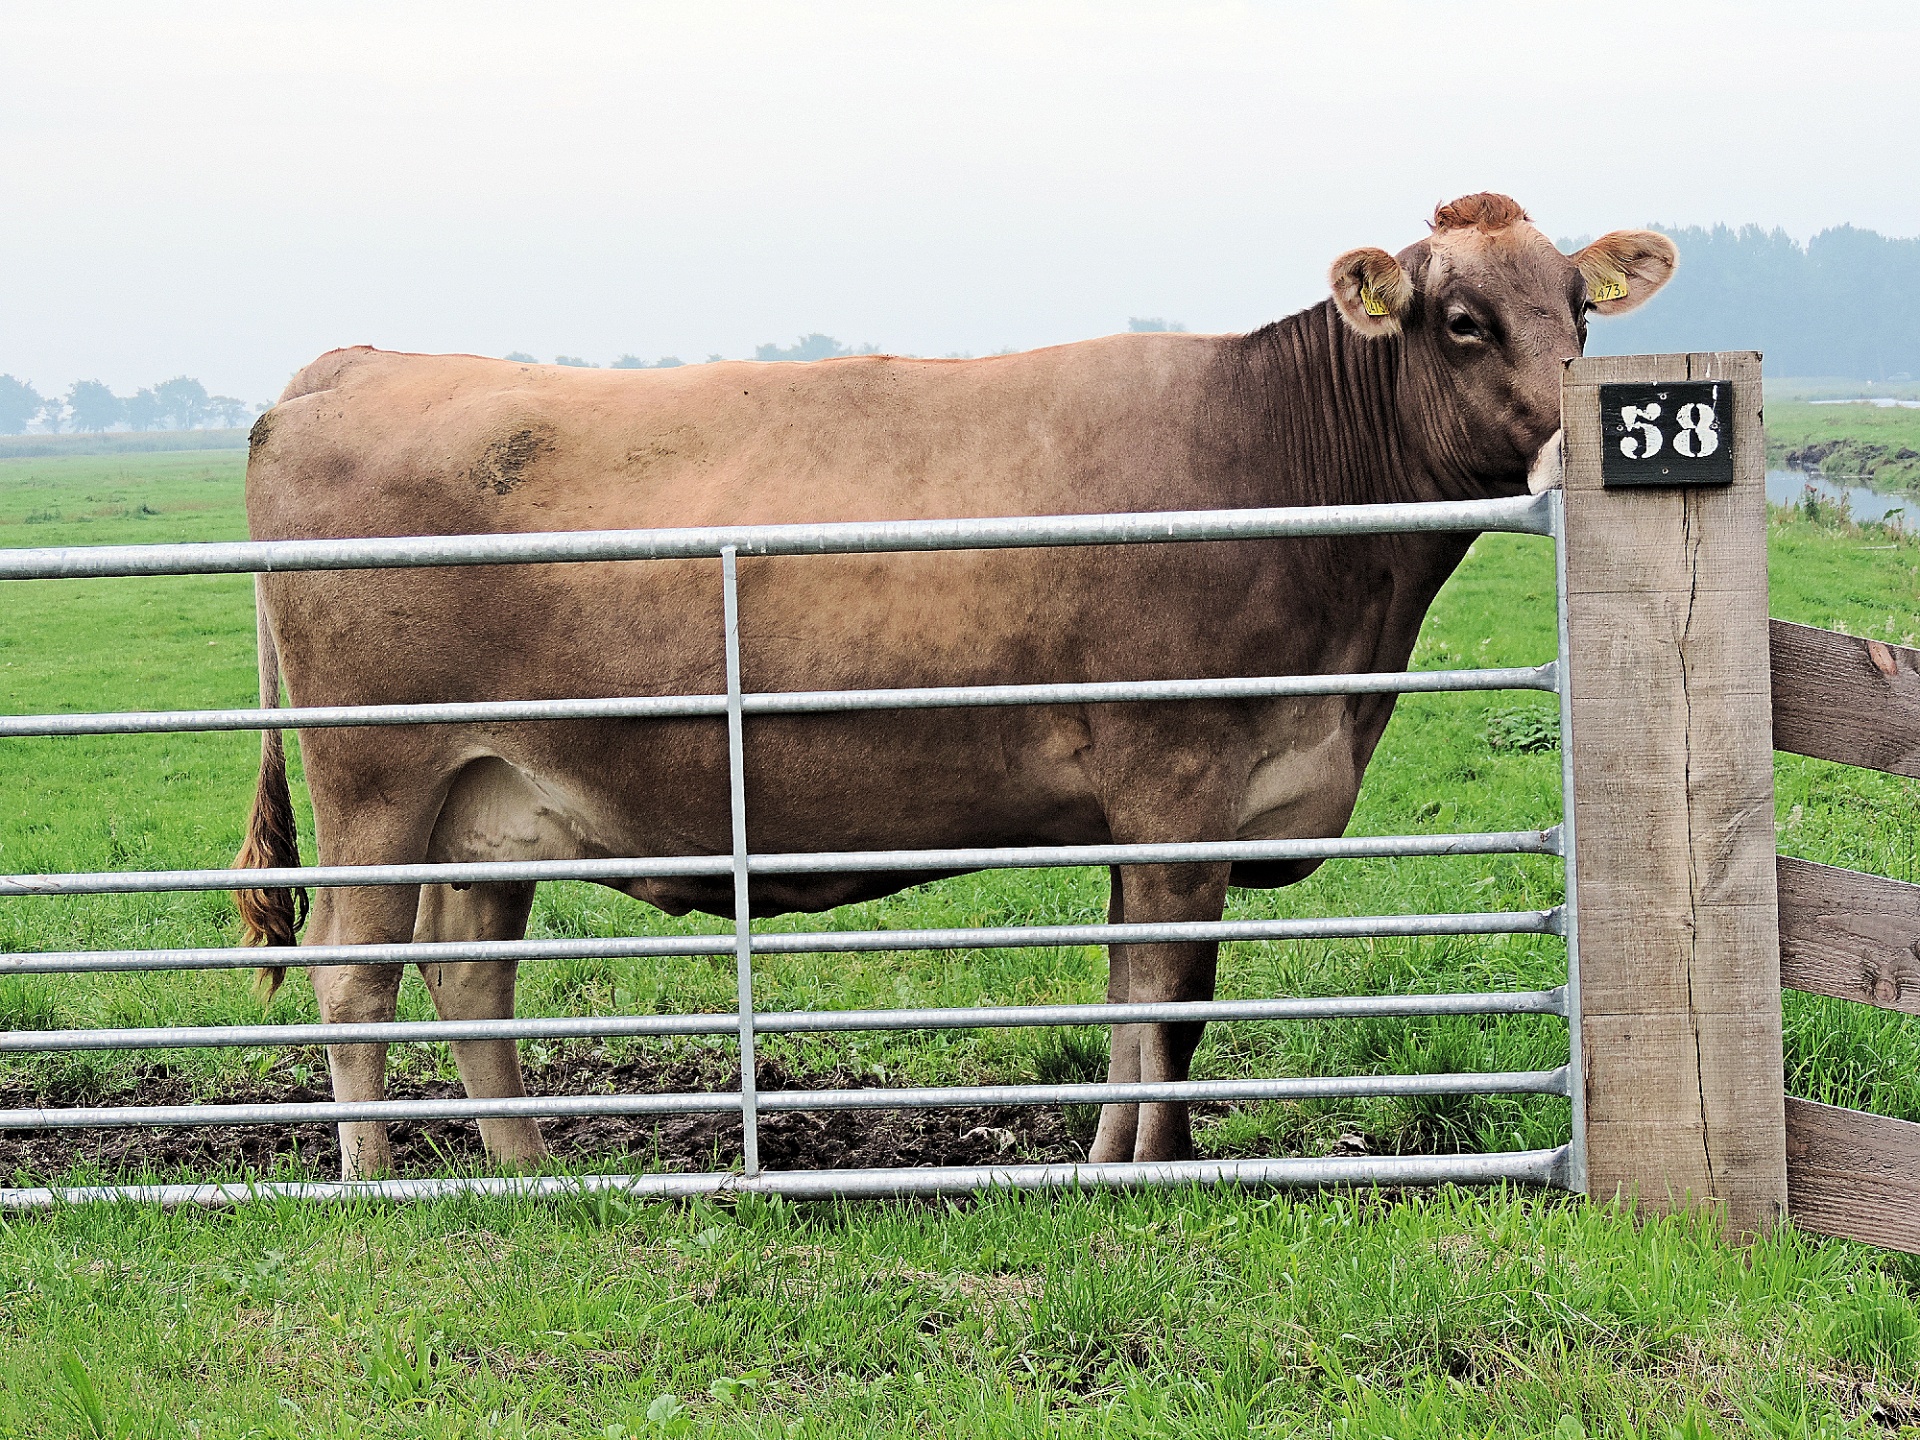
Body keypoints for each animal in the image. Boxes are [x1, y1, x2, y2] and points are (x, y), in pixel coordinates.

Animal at [232, 194, 1674, 1182]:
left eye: (1579, 311)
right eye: (1463, 321)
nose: (1571, 444)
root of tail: (350, 365)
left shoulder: (1144, 812)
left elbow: (1128, 996)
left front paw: (1113, 1163)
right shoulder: (1180, 780)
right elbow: (1173, 1000)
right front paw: (1156, 1175)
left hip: (495, 793)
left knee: (470, 968)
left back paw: (530, 1172)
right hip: (376, 777)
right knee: (354, 970)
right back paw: (376, 1187)